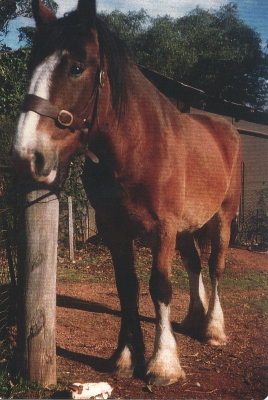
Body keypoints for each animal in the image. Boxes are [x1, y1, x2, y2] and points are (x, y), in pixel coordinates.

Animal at [12, 0, 242, 388]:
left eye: (76, 68)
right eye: (31, 65)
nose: (27, 156)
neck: (138, 146)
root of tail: (225, 128)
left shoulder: (162, 230)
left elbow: (159, 286)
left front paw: (163, 363)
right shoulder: (115, 230)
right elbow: (127, 288)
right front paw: (125, 357)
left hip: (221, 219)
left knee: (215, 267)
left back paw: (213, 328)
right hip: (187, 226)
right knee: (195, 264)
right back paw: (194, 319)